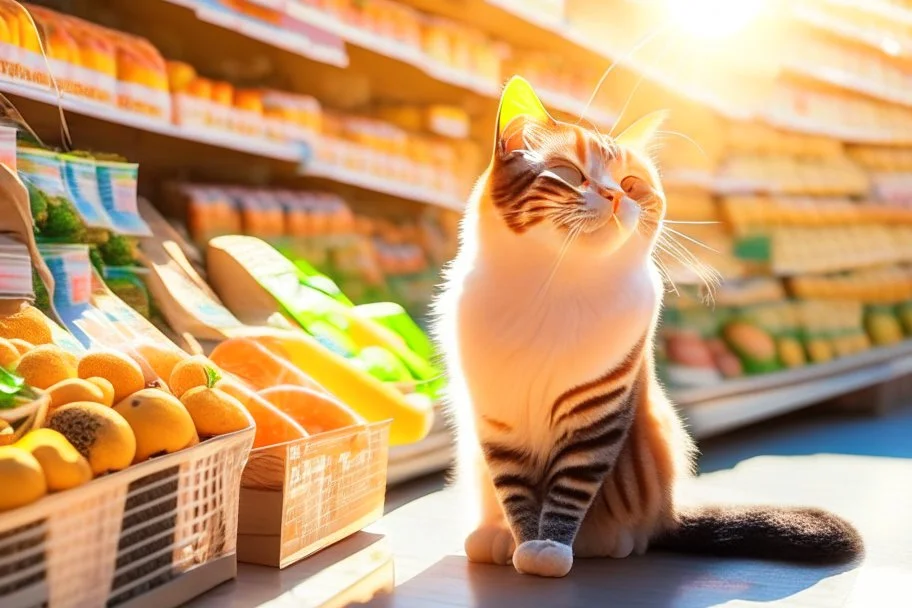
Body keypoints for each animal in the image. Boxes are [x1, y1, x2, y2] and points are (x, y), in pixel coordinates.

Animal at [432, 77, 864, 580]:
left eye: (631, 184)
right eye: (569, 174)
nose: (617, 197)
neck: (556, 282)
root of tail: (670, 511)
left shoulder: (598, 413)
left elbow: (568, 491)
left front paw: (549, 550)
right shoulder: (498, 416)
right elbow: (515, 491)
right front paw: (524, 542)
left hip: (653, 436)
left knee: (638, 534)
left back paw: (605, 542)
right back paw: (493, 538)